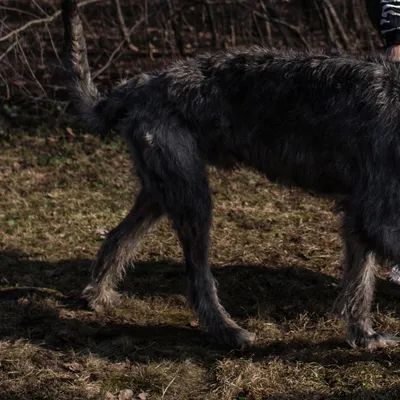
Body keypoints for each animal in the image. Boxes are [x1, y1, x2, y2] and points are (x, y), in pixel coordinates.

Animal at [62, 0, 400, 350]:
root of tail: (143, 83)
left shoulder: (359, 216)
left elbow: (359, 281)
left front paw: (364, 335)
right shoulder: (377, 215)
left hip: (160, 189)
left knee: (118, 237)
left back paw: (98, 294)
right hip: (192, 199)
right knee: (198, 277)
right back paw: (226, 329)